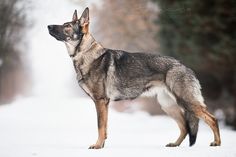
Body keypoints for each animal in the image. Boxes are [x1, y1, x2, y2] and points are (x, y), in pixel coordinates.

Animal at [47, 7, 221, 149]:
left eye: (67, 26)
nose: (48, 26)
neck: (85, 53)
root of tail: (184, 66)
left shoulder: (100, 101)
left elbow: (100, 126)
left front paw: (97, 145)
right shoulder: (104, 104)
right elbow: (105, 127)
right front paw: (101, 145)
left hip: (187, 102)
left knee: (212, 119)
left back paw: (217, 142)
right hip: (169, 106)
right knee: (184, 127)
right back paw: (175, 144)